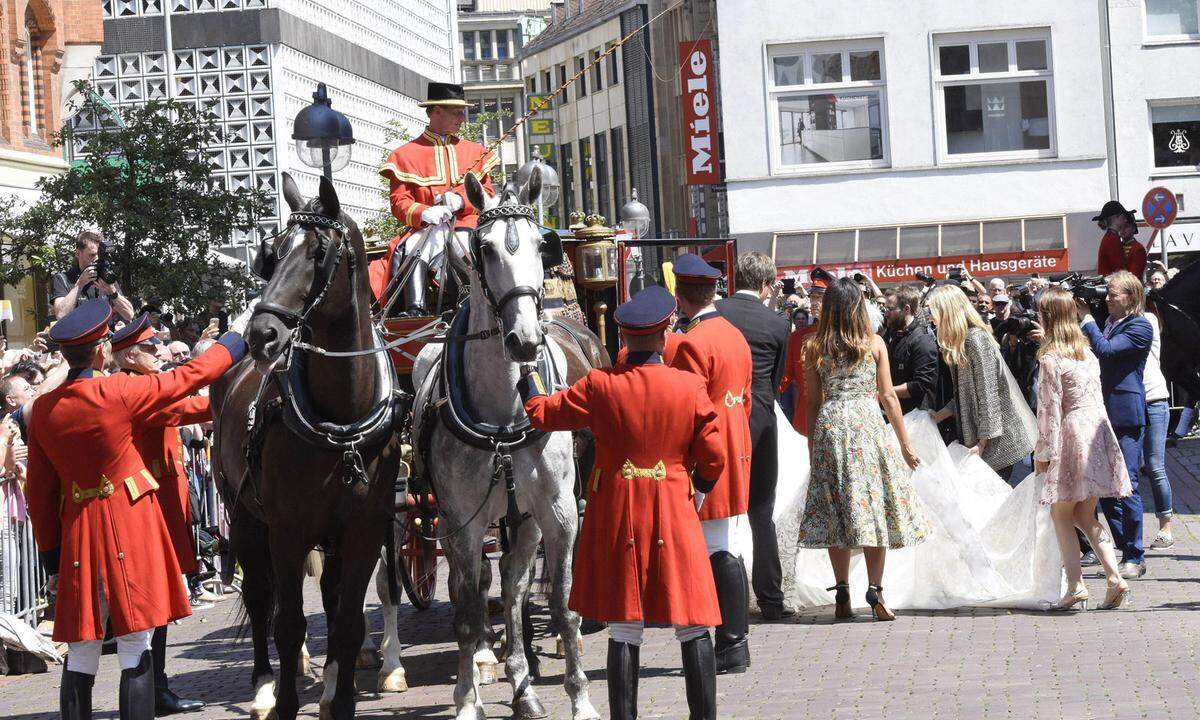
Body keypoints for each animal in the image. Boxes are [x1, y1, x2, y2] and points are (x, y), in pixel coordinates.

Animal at [213, 174, 405, 720]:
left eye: (320, 254)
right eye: (272, 253)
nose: (261, 333)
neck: (341, 419)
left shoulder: (364, 528)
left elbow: (347, 621)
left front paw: (339, 700)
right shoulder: (287, 530)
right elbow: (288, 623)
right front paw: (284, 702)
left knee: (331, 593)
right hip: (245, 519)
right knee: (261, 600)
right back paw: (262, 687)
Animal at [412, 170, 600, 720]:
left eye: (543, 244)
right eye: (485, 248)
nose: (523, 339)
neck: (503, 416)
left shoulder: (558, 512)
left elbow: (561, 604)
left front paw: (580, 697)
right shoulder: (463, 523)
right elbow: (469, 613)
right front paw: (466, 700)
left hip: (526, 518)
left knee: (514, 588)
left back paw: (523, 682)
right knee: (473, 591)